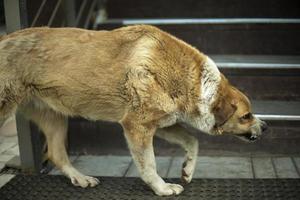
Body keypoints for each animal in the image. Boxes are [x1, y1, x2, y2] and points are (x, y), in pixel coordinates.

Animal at [0, 24, 268, 195]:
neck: (190, 80)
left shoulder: (163, 124)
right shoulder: (137, 126)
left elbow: (193, 141)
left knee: (56, 153)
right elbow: (149, 165)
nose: (265, 126)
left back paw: (80, 179)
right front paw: (162, 188)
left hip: (54, 117)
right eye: (246, 116)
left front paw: (187, 171)